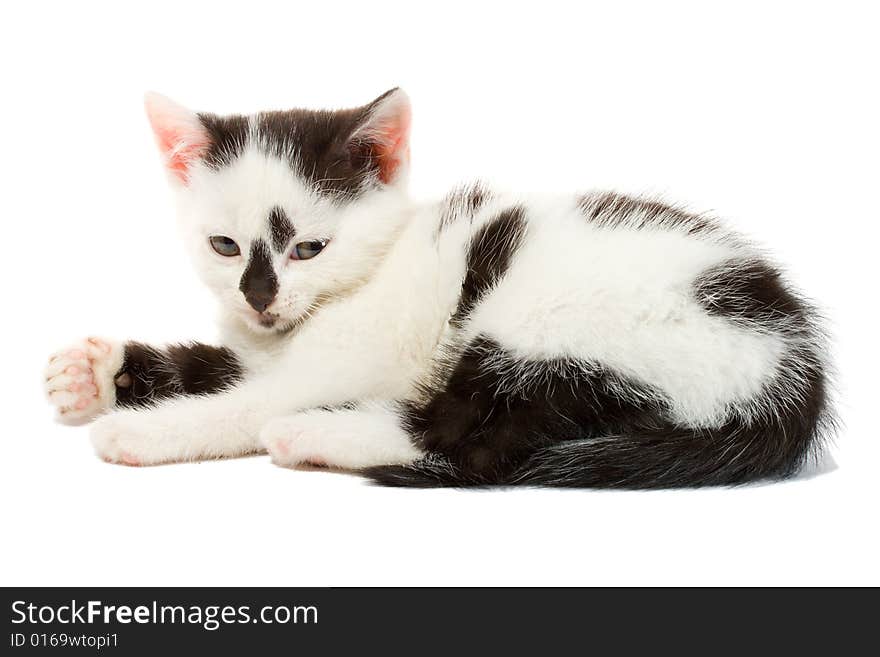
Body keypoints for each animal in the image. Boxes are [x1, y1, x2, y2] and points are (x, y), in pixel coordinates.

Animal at [46, 87, 832, 486]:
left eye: (308, 247)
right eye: (224, 245)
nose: (259, 297)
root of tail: (794, 372)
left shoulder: (345, 357)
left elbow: (244, 402)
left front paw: (141, 430)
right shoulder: (261, 346)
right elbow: (218, 366)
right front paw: (93, 372)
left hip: (547, 324)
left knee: (473, 443)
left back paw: (311, 434)